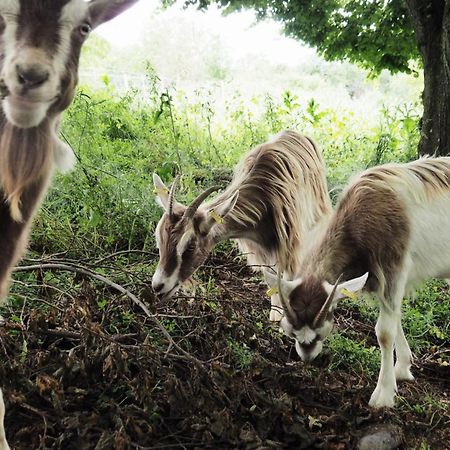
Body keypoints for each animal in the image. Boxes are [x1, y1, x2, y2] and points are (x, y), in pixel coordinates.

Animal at [151, 128, 330, 322]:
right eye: (159, 240)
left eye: (190, 246)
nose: (158, 286)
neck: (264, 200)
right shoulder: (261, 250)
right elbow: (271, 278)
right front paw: (275, 312)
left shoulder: (290, 245)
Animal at [264, 157, 450, 408]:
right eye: (291, 332)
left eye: (322, 329)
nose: (306, 355)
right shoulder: (380, 280)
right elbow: (396, 319)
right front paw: (403, 367)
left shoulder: (393, 270)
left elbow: (384, 332)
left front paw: (384, 394)